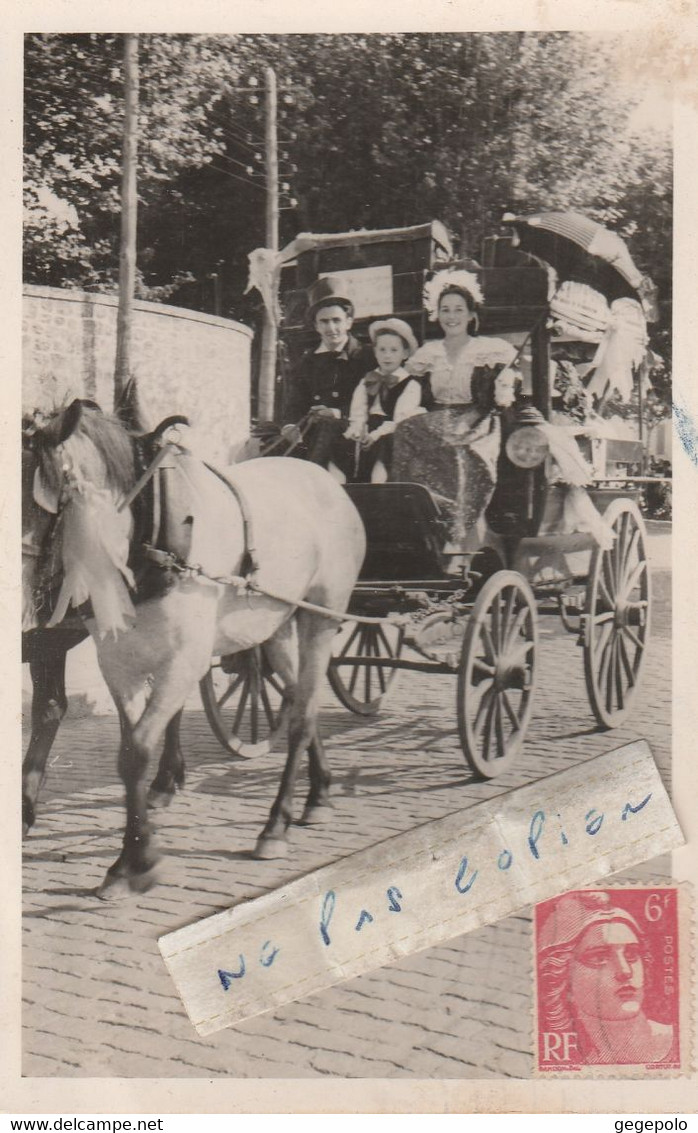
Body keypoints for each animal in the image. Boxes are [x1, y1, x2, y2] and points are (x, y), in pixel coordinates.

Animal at [34, 403, 364, 897]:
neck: (147, 534)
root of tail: (325, 479)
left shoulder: (182, 661)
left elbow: (139, 748)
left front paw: (136, 862)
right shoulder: (117, 662)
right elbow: (130, 754)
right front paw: (135, 854)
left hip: (320, 617)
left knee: (302, 717)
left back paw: (275, 827)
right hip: (275, 626)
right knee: (298, 698)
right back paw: (319, 794)